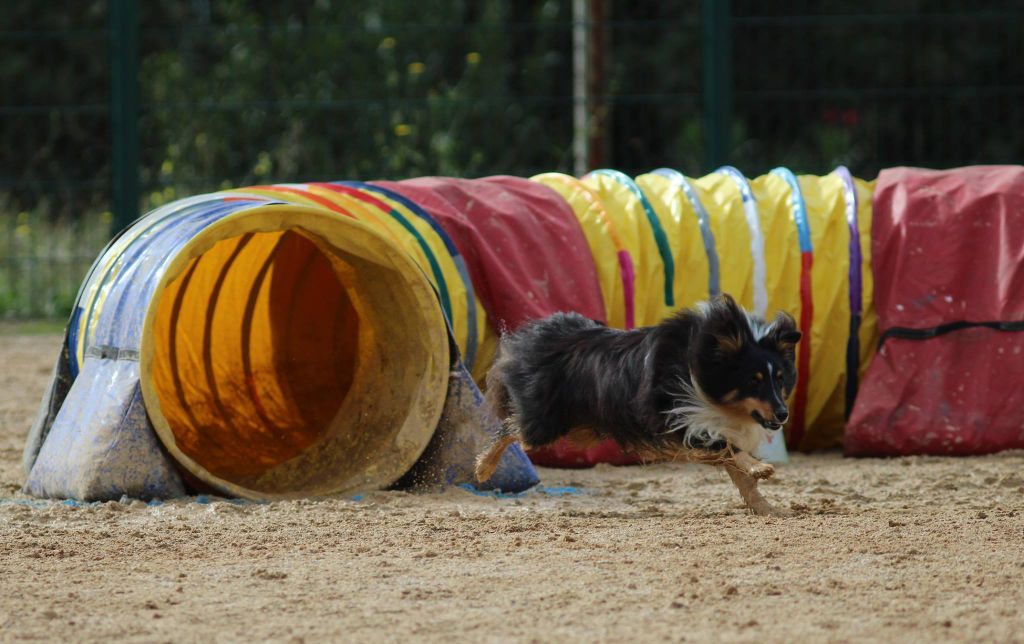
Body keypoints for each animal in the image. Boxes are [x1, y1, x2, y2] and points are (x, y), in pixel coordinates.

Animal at [475, 294, 802, 513]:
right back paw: (483, 467)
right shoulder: (679, 418)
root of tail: (534, 337)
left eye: (780, 379)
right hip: (545, 425)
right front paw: (761, 468)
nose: (783, 414)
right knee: (511, 429)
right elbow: (728, 447)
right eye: (753, 380)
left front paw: (767, 507)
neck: (700, 367)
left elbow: (738, 469)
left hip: (583, 428)